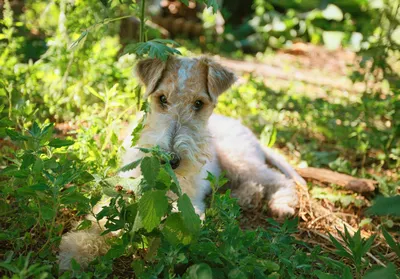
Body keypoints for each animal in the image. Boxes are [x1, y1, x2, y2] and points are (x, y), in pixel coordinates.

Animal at [57, 56, 304, 272]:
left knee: (276, 179)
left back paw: (281, 205)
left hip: (238, 159)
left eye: (198, 103)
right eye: (162, 99)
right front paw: (72, 255)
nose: (170, 160)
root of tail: (250, 133)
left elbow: (175, 221)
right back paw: (244, 197)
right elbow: (99, 220)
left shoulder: (187, 202)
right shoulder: (123, 187)